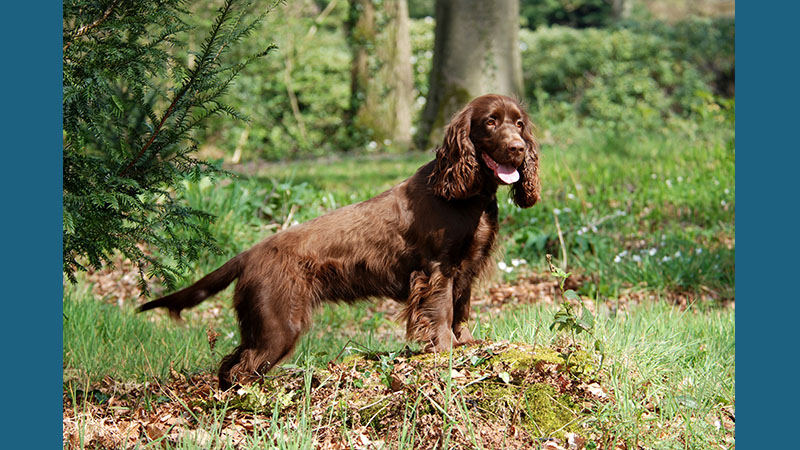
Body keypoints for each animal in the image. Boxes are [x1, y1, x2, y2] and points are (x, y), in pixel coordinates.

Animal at [141, 94, 544, 386]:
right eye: (490, 121)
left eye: (519, 123)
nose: (518, 149)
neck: (466, 194)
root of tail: (248, 254)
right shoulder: (436, 269)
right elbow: (441, 312)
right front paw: (445, 351)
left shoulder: (467, 270)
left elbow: (460, 310)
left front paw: (465, 342)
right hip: (279, 324)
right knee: (244, 367)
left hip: (260, 324)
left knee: (231, 362)